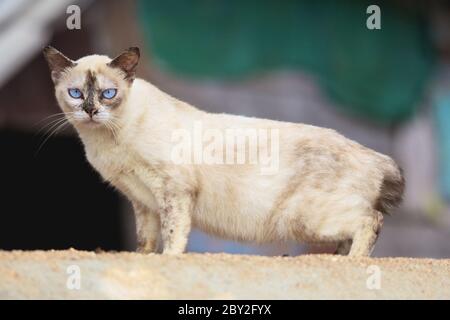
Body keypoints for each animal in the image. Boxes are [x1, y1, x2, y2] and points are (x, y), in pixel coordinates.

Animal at [43, 45, 404, 255]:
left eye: (108, 94)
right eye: (75, 93)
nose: (90, 111)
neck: (107, 140)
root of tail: (375, 155)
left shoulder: (172, 191)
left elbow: (173, 237)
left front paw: (168, 262)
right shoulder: (142, 202)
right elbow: (144, 243)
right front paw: (144, 262)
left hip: (302, 218)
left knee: (369, 221)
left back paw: (352, 264)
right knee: (352, 233)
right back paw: (335, 262)